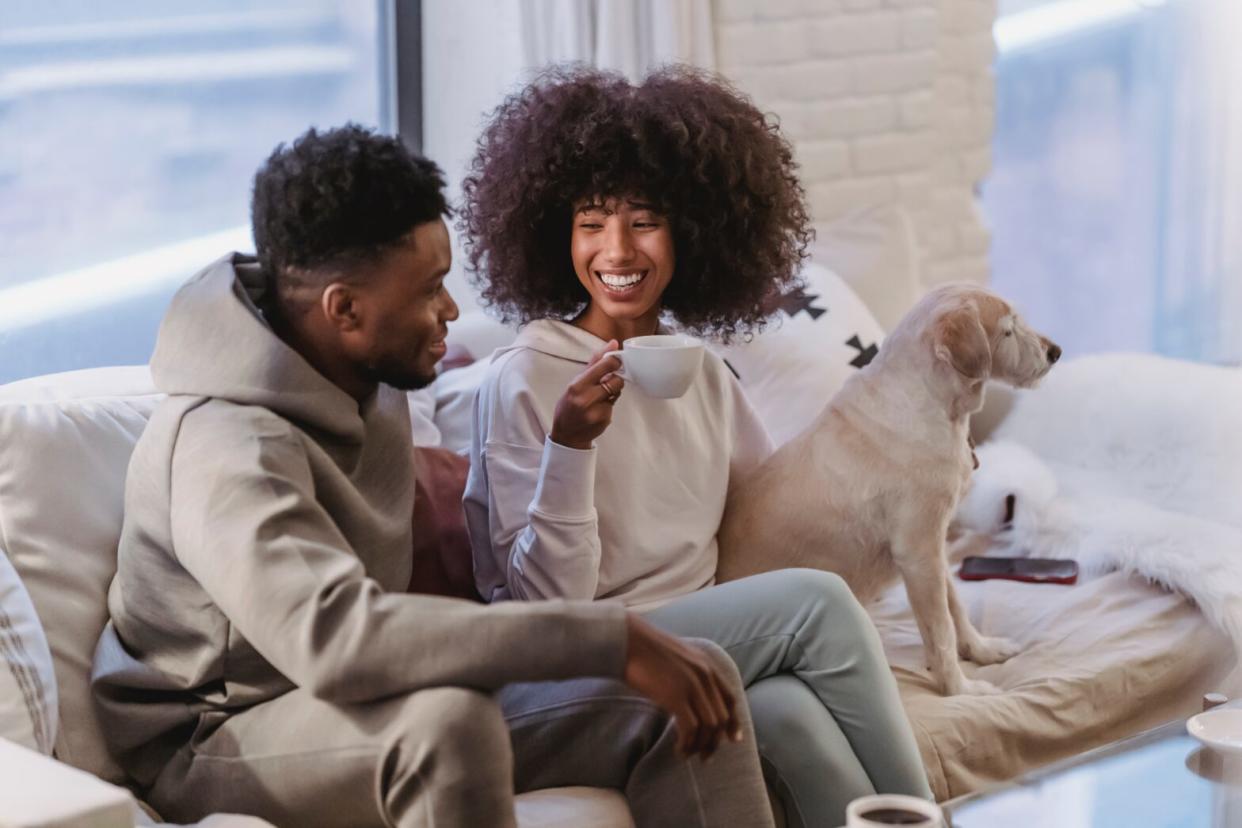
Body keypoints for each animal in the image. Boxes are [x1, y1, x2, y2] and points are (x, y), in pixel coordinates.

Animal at [720, 281, 1058, 695]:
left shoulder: (934, 546)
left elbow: (956, 608)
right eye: (1008, 329)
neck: (934, 404)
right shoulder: (918, 552)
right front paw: (959, 689)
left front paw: (980, 650)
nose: (1056, 352)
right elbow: (940, 629)